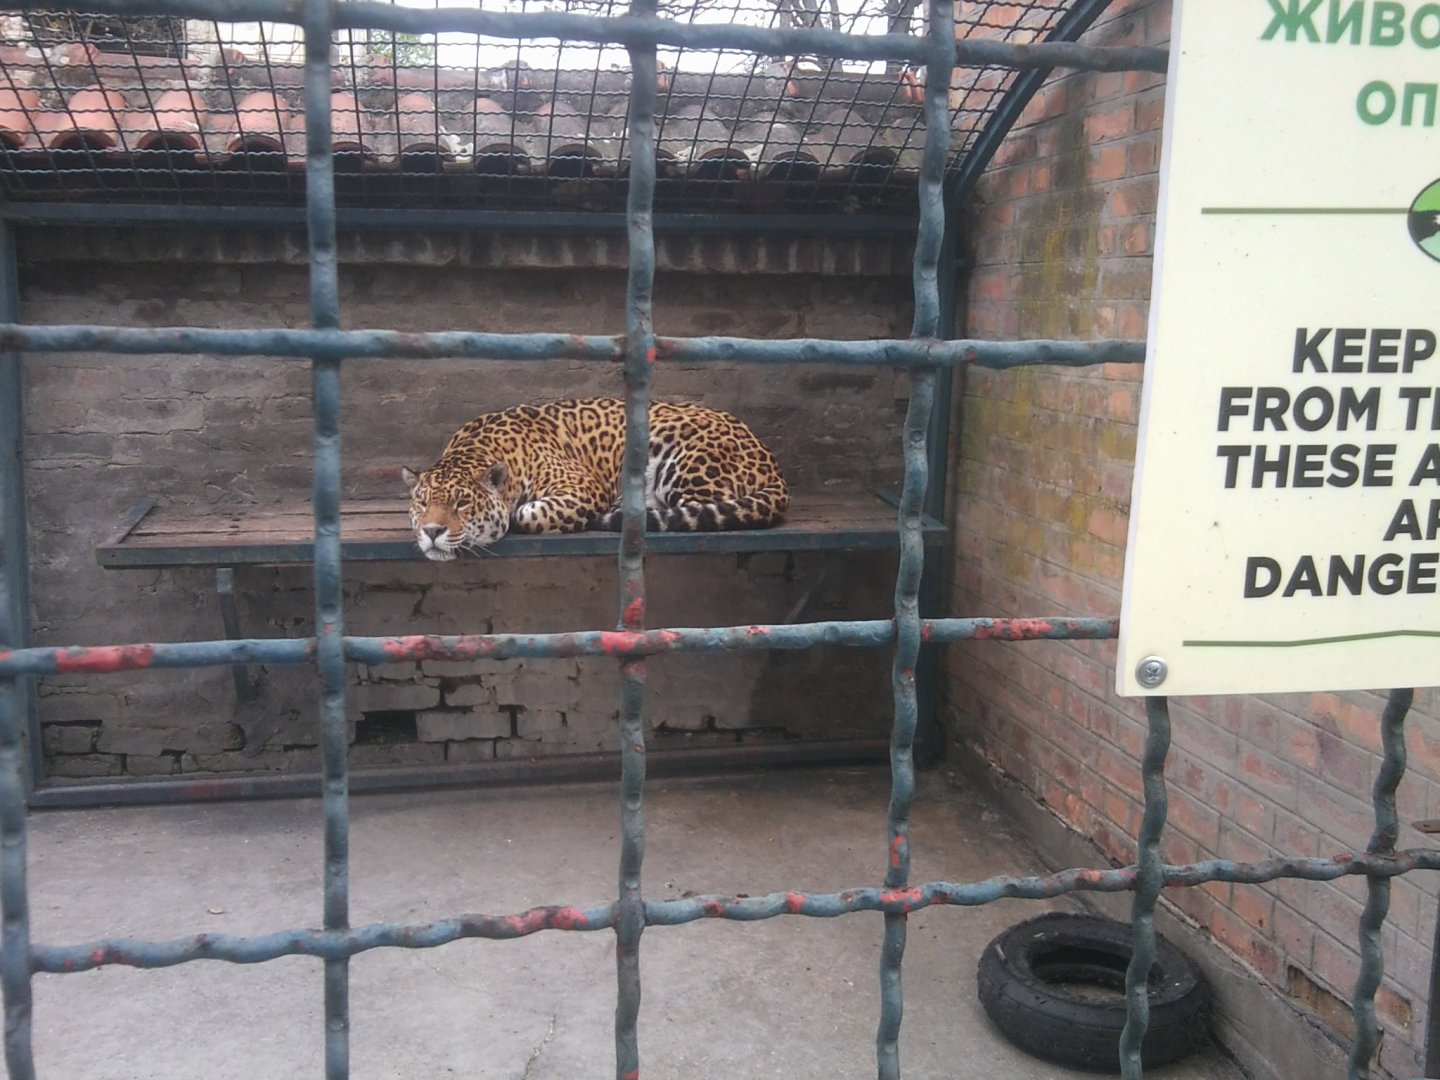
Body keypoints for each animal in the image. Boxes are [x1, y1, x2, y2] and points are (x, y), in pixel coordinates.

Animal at [401, 397, 788, 561]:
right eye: (422, 503)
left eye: (462, 503)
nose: (432, 531)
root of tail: (771, 459)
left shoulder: (581, 487)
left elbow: (527, 514)